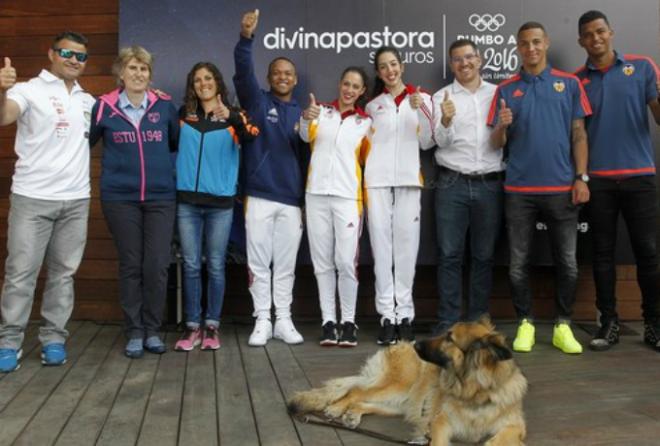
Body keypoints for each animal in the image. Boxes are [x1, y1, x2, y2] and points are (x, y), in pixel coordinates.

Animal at [286, 318, 528, 444]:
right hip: (397, 388)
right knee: (356, 391)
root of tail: (399, 345)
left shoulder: (515, 426)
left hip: (401, 403)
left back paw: (352, 415)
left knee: (363, 401)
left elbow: (502, 438)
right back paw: (337, 409)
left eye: (449, 339)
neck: (477, 393)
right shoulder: (440, 423)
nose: (418, 344)